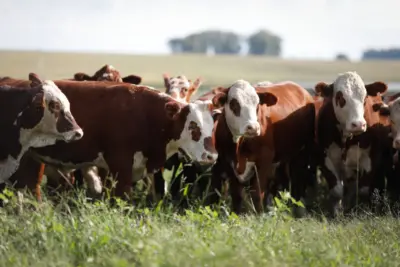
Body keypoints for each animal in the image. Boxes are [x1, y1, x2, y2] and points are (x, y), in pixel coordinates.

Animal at [314, 71, 390, 218]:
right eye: (339, 97)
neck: (346, 137)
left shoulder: (372, 158)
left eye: (365, 97)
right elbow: (337, 190)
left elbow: (363, 190)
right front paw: (336, 214)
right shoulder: (324, 158)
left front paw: (360, 212)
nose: (359, 124)